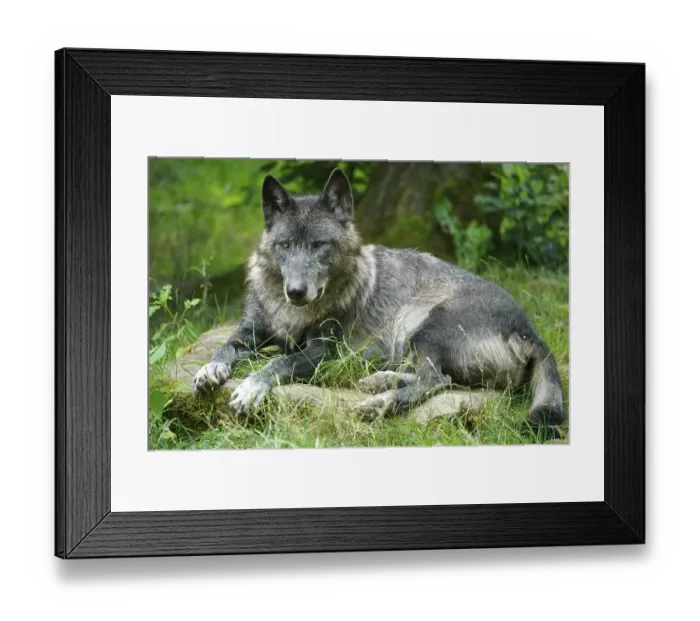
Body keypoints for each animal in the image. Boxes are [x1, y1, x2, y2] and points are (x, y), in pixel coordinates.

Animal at [193, 168, 566, 432]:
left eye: (318, 245)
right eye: (285, 245)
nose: (295, 291)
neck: (291, 311)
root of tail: (532, 333)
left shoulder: (320, 352)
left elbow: (278, 363)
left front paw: (250, 388)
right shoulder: (249, 332)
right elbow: (224, 347)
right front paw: (210, 369)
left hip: (424, 323)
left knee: (436, 380)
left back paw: (376, 403)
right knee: (432, 376)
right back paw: (378, 381)